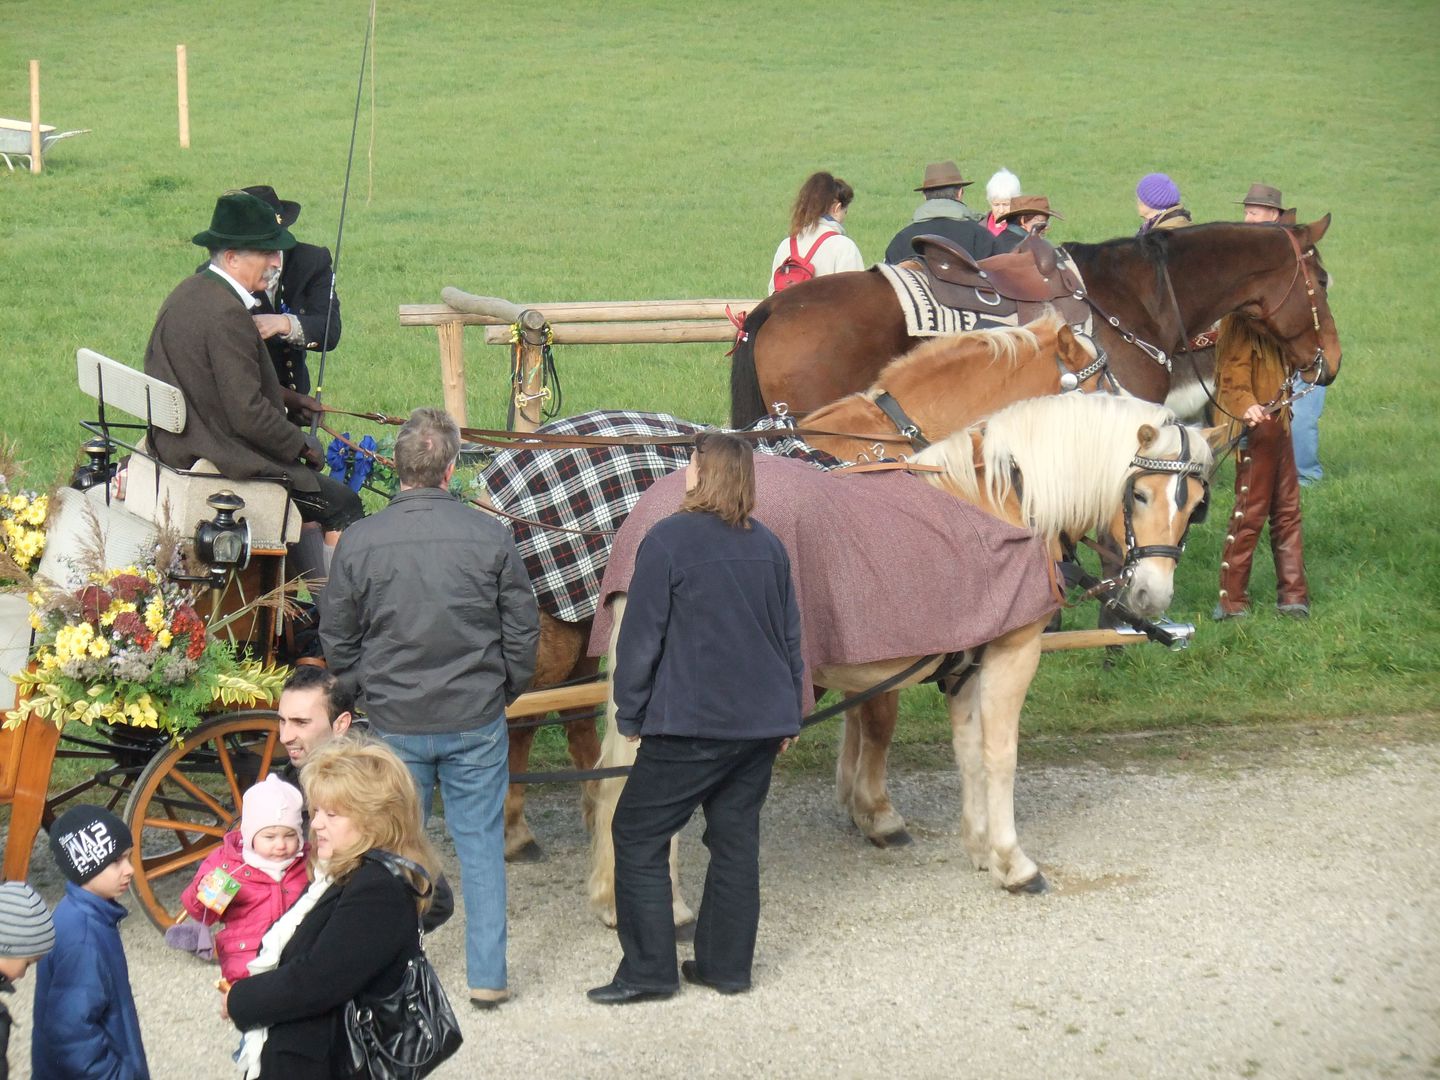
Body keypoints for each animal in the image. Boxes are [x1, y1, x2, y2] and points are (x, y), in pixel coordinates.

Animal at [495, 315, 1107, 860]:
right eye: (1103, 382)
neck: (895, 450)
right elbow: (879, 716)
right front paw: (878, 811)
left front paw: (859, 802)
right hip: (557, 631)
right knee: (525, 716)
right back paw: (517, 830)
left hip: (585, 625)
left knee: (574, 718)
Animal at [587, 393, 1216, 925]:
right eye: (1139, 493)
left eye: (1194, 506)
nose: (1152, 596)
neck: (1003, 504)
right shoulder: (1013, 653)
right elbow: (1000, 756)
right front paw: (1013, 862)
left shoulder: (965, 666)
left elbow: (968, 753)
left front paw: (981, 847)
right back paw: (667, 907)